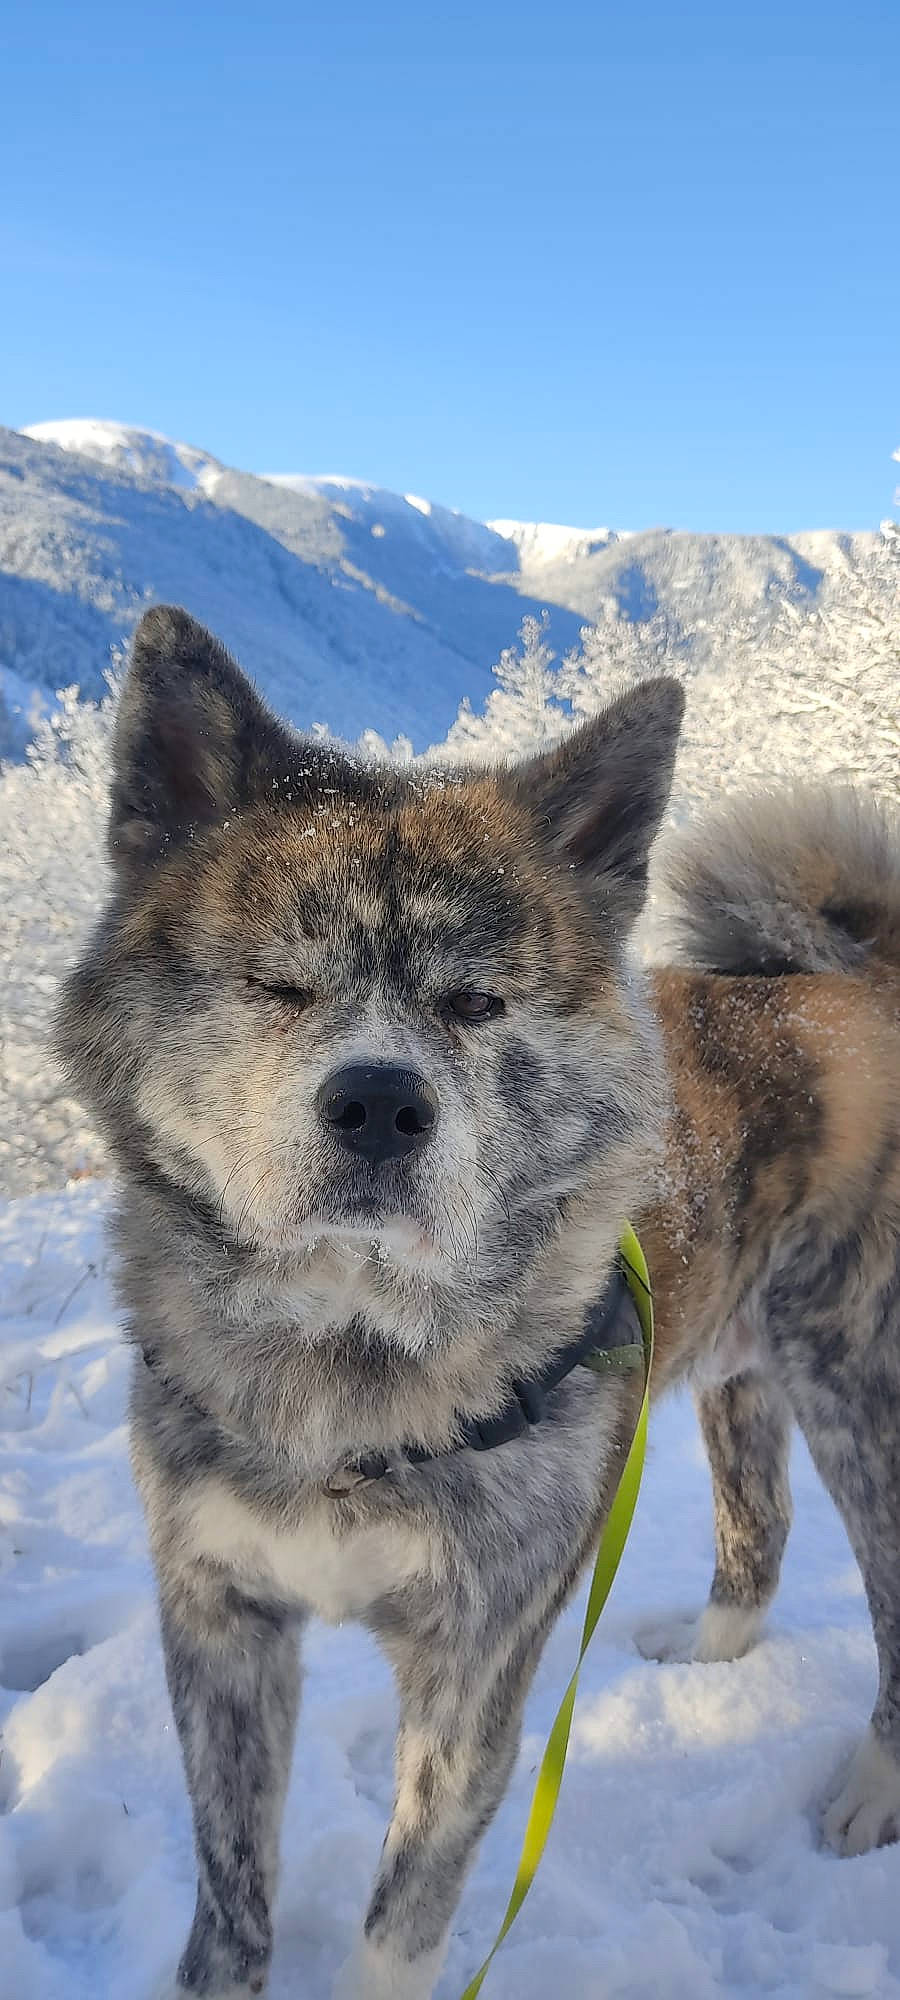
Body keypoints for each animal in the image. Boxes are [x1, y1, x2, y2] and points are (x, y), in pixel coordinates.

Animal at [56, 606, 900, 2000]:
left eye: (476, 1000)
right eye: (279, 984)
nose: (379, 1102)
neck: (351, 1369)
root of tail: (852, 982)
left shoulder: (475, 1667)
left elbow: (402, 1919)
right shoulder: (220, 1617)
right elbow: (231, 1891)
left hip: (857, 1388)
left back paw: (870, 1794)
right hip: (736, 1372)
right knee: (759, 1519)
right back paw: (712, 1653)